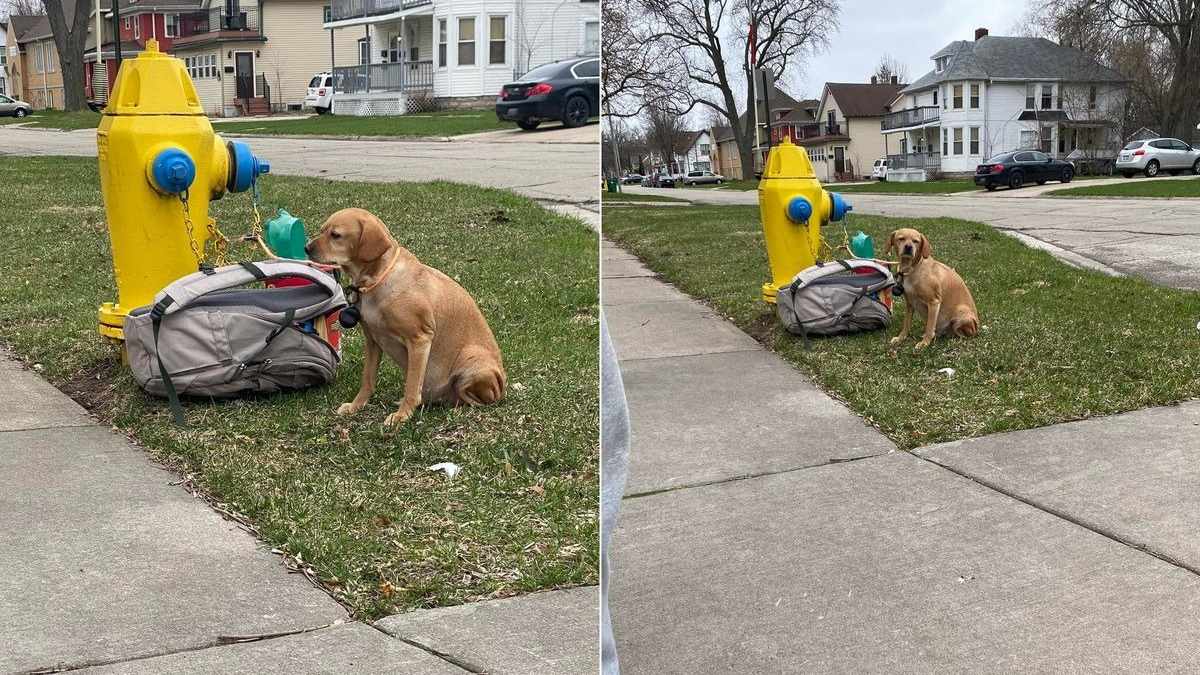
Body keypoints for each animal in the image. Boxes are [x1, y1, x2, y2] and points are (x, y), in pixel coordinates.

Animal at [307, 207, 504, 422]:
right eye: (322, 230)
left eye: (335, 235)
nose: (307, 248)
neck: (377, 280)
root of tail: (502, 387)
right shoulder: (372, 341)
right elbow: (368, 380)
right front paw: (356, 406)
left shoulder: (420, 340)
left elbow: (411, 386)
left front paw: (402, 416)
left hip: (473, 366)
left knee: (477, 401)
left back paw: (457, 409)